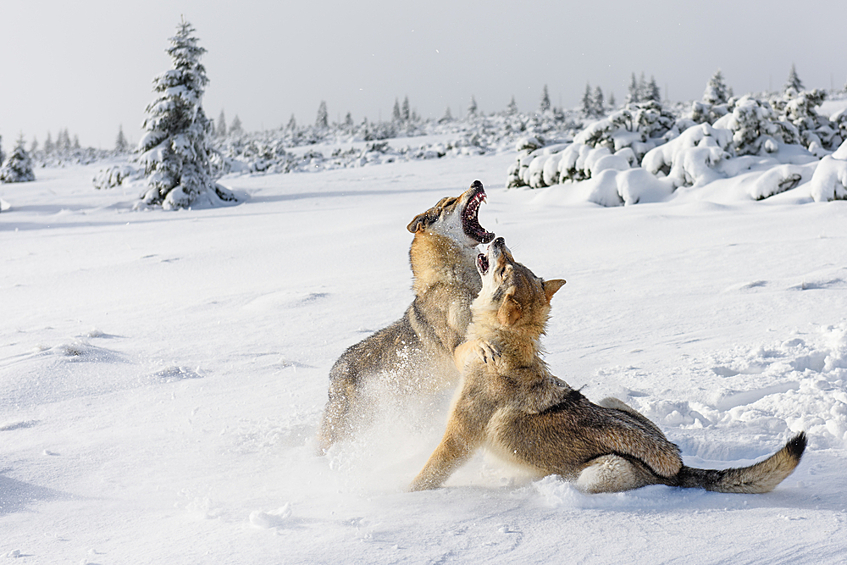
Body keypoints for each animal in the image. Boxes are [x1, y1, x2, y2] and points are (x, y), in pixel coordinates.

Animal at [412, 238, 808, 494]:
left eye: (506, 264)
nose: (498, 238)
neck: (505, 351)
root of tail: (678, 467)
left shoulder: (460, 437)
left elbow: (428, 474)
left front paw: (405, 497)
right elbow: (463, 348)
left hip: (597, 474)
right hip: (611, 400)